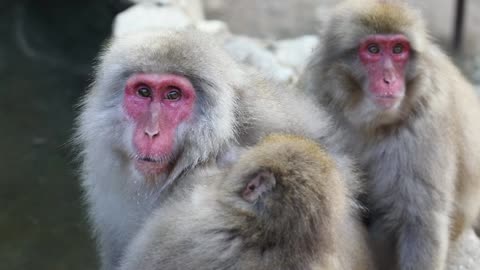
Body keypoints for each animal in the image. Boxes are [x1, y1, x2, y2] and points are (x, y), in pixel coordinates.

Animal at [300, 0, 480, 270]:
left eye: (398, 49)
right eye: (373, 49)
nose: (389, 80)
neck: (368, 121)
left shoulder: (426, 122)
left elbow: (420, 221)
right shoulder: (314, 94)